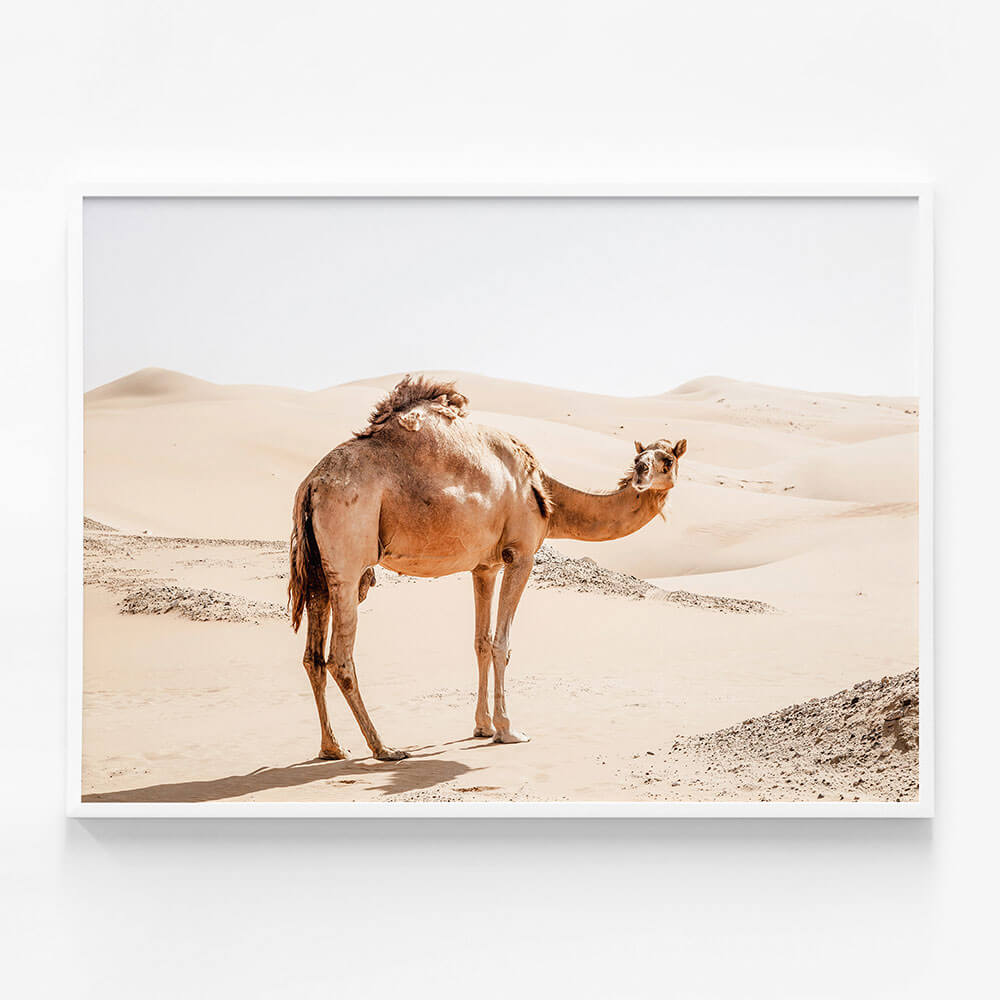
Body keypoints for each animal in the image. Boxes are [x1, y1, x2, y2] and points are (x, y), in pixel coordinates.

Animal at [288, 375, 687, 761]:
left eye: (666, 459)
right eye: (644, 457)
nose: (640, 472)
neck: (547, 494)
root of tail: (311, 483)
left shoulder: (485, 566)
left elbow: (481, 641)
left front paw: (482, 726)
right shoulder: (520, 554)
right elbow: (502, 643)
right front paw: (508, 729)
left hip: (320, 570)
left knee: (313, 656)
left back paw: (332, 747)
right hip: (348, 559)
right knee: (340, 658)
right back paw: (384, 748)